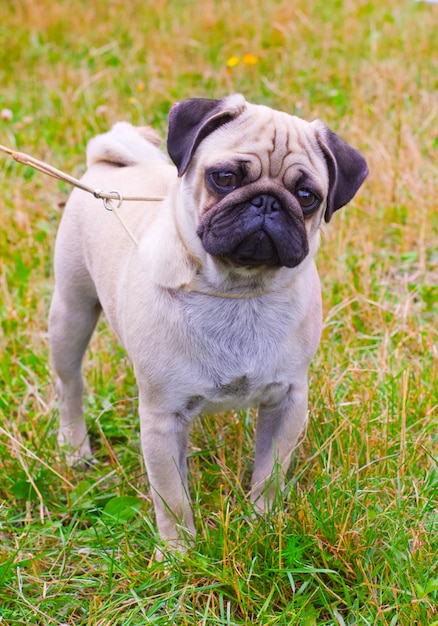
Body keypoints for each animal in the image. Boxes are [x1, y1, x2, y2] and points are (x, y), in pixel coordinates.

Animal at [48, 94, 366, 544]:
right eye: (225, 177)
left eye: (307, 196)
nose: (267, 201)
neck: (237, 292)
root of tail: (110, 166)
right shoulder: (162, 420)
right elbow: (172, 497)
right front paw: (177, 550)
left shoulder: (288, 402)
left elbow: (270, 474)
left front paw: (262, 525)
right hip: (71, 313)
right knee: (70, 384)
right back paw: (74, 448)